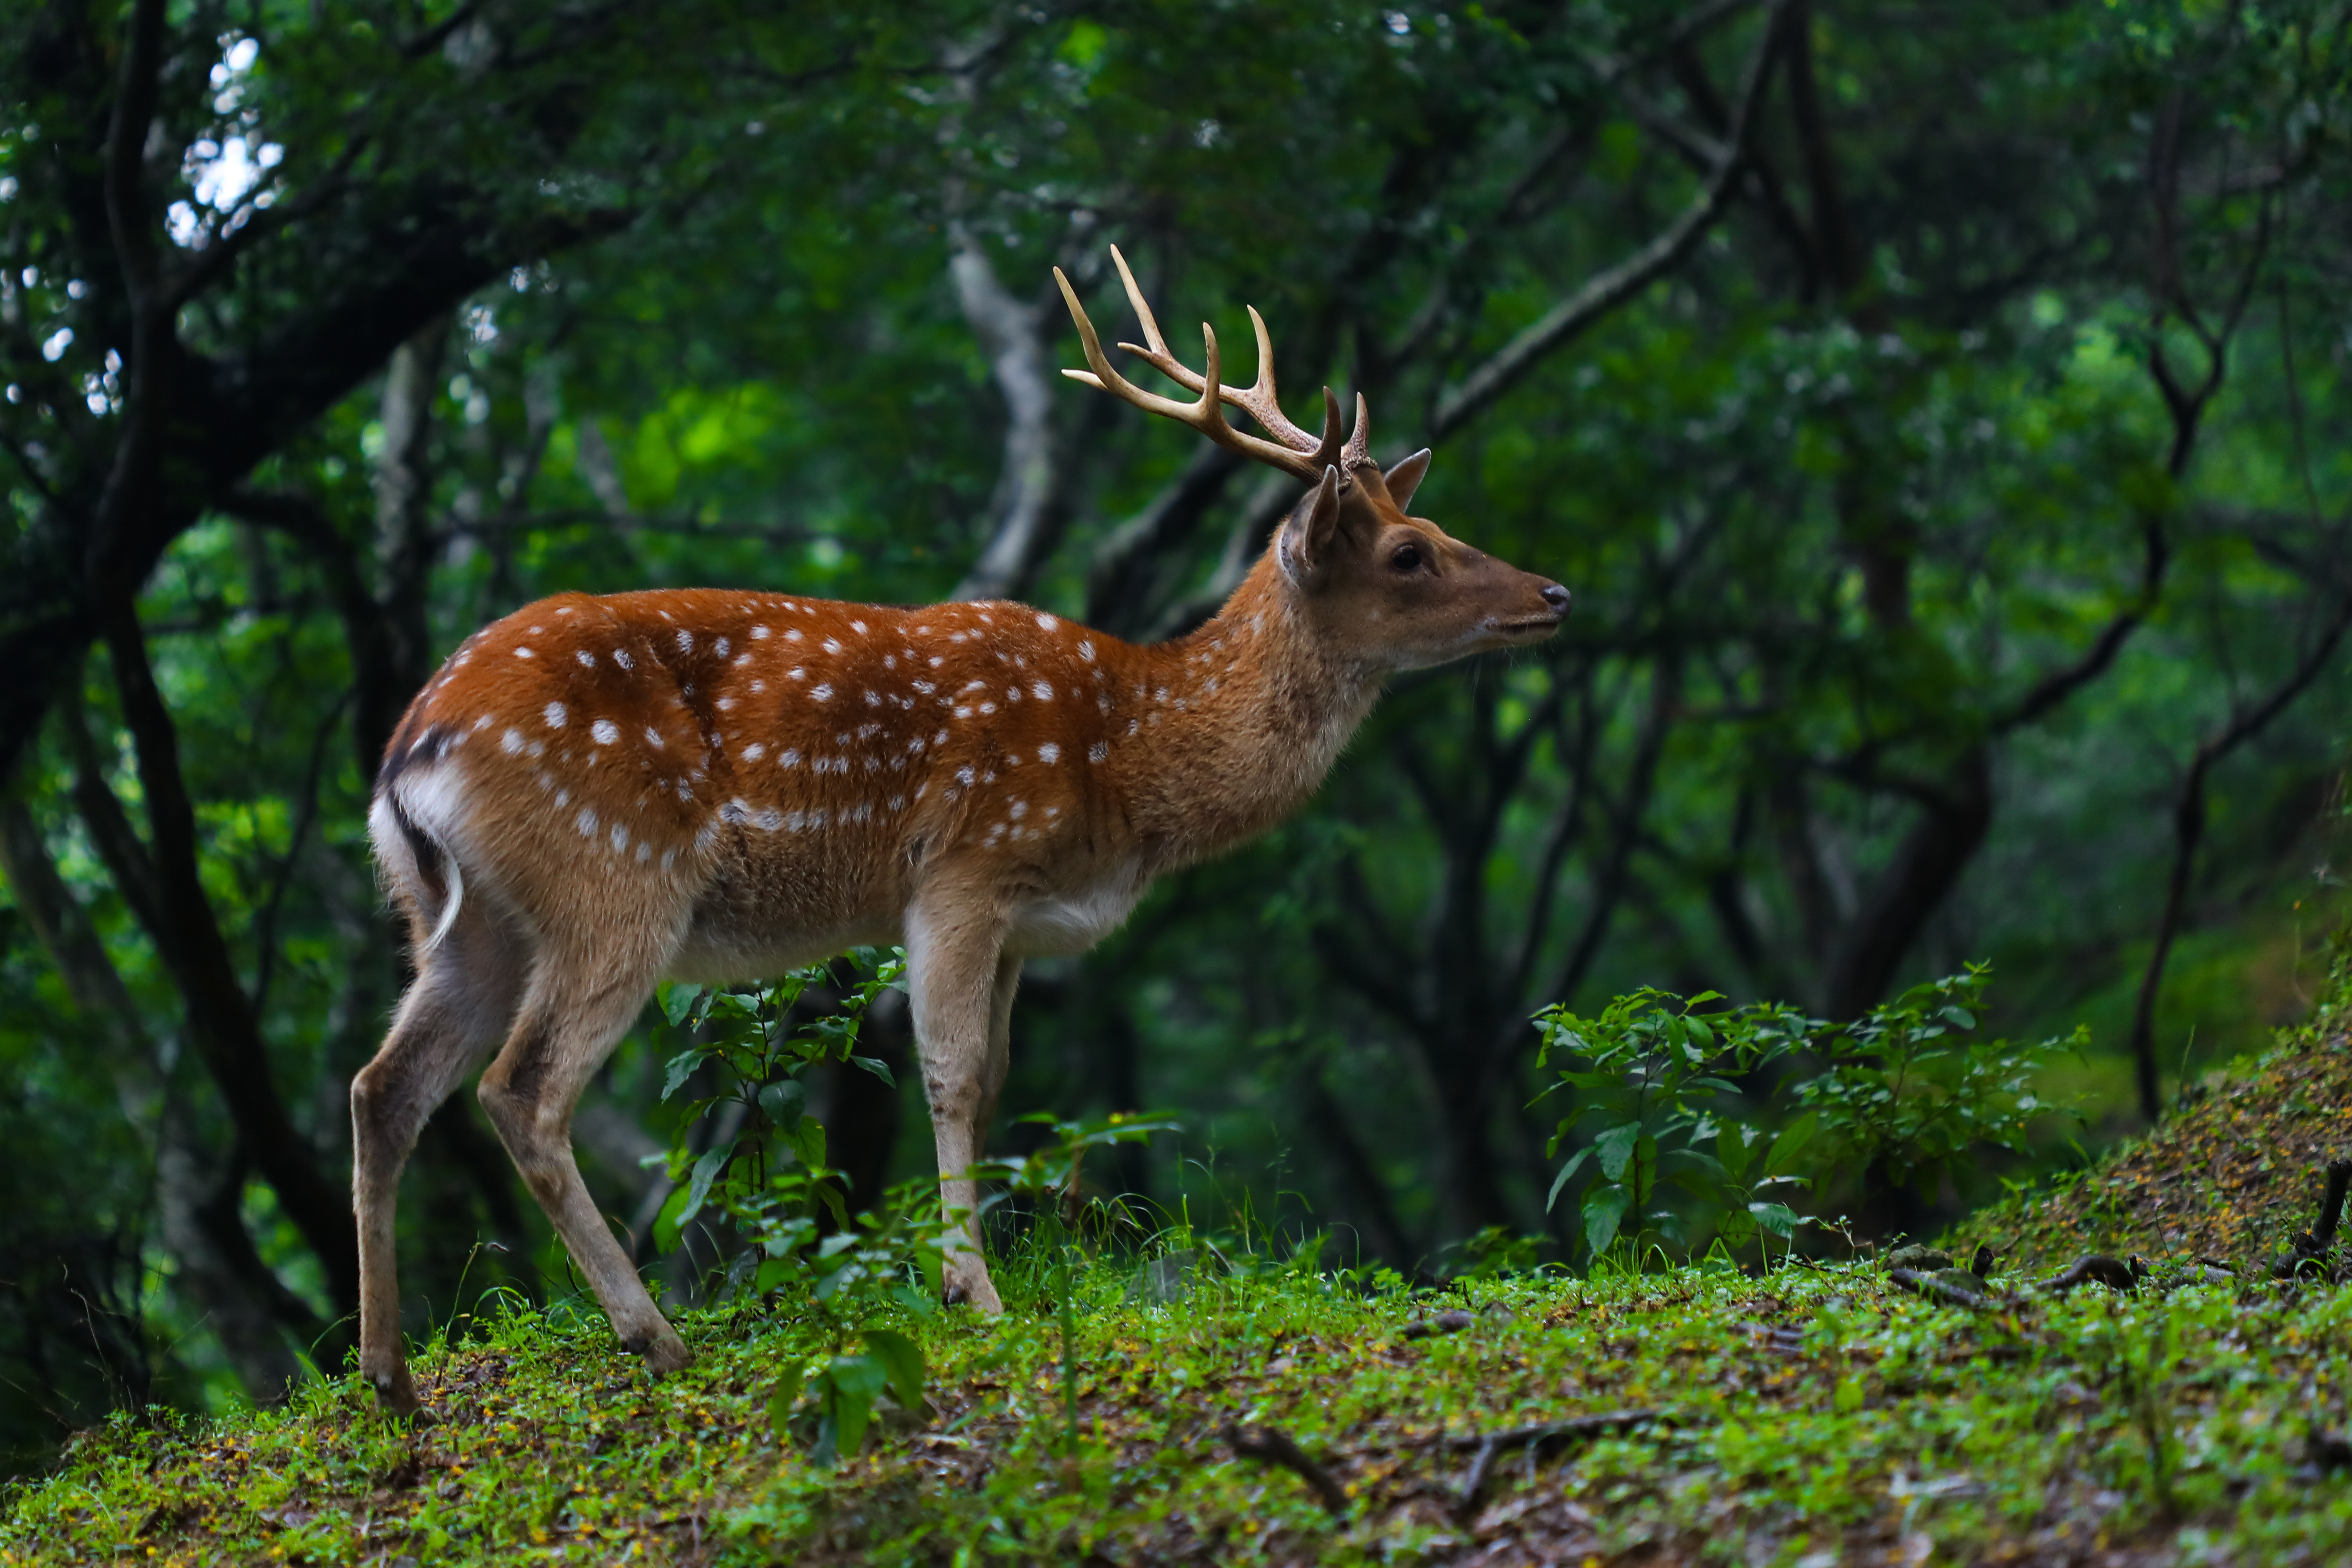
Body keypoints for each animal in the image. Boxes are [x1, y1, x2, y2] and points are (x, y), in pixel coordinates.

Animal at [352, 246, 1570, 1414]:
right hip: (616, 877)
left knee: (384, 1085)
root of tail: (410, 750)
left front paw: (964, 1273)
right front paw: (971, 1292)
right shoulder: (965, 864)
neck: (1125, 764)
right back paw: (652, 1335)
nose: (1554, 594)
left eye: (1437, 525)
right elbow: (948, 1072)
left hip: (459, 920)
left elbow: (993, 1085)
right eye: (1409, 553)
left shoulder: (1023, 921)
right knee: (521, 1090)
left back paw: (392, 1377)